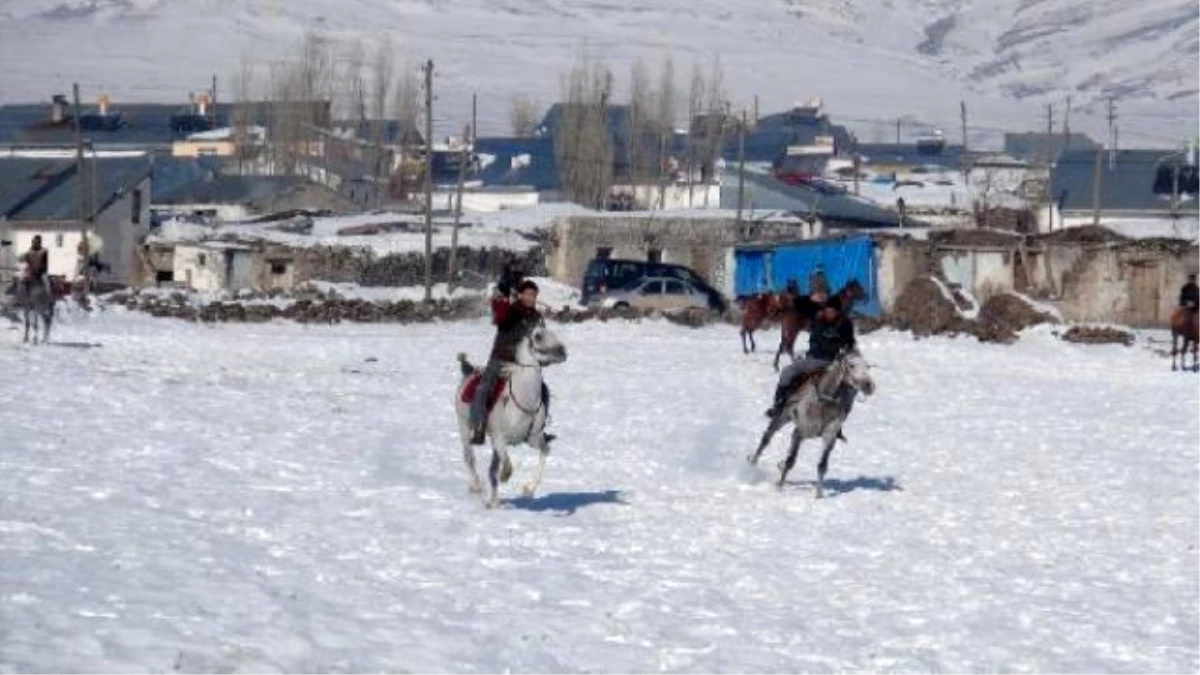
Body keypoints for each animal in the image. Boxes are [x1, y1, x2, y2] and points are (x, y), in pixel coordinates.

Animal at [453, 319, 566, 504]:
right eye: (538, 336)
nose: (562, 351)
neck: (524, 398)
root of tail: (469, 371)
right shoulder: (499, 438)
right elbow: (506, 465)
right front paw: (505, 477)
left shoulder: (534, 439)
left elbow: (544, 452)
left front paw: (528, 489)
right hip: (464, 427)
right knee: (469, 457)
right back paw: (476, 486)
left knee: (490, 467)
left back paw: (493, 502)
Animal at [744, 345, 878, 494]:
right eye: (851, 365)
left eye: (867, 366)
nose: (869, 386)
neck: (823, 402)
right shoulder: (798, 433)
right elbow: (791, 461)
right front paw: (779, 486)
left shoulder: (829, 437)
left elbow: (822, 465)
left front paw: (819, 494)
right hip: (781, 417)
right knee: (766, 438)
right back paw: (753, 461)